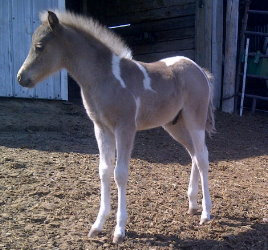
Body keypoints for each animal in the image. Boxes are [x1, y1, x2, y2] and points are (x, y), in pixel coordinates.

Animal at [17, 10, 216, 243]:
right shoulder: (101, 128)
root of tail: (199, 70)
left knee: (202, 157)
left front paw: (119, 230)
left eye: (39, 46)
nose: (21, 78)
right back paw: (192, 204)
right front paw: (97, 225)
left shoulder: (125, 128)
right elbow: (104, 171)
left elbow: (120, 174)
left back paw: (206, 213)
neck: (106, 77)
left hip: (195, 119)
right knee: (193, 154)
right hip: (174, 125)